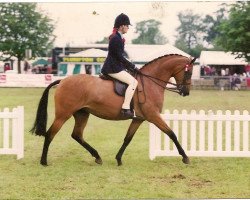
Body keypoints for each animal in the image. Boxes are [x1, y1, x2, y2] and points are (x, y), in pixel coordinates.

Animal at [30, 54, 195, 166]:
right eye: (189, 72)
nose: (186, 92)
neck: (150, 83)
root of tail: (63, 80)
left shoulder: (138, 119)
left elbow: (128, 138)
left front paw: (118, 159)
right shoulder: (153, 116)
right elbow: (171, 133)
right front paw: (185, 157)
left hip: (82, 114)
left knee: (77, 135)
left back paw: (97, 156)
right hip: (63, 115)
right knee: (51, 134)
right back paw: (44, 161)